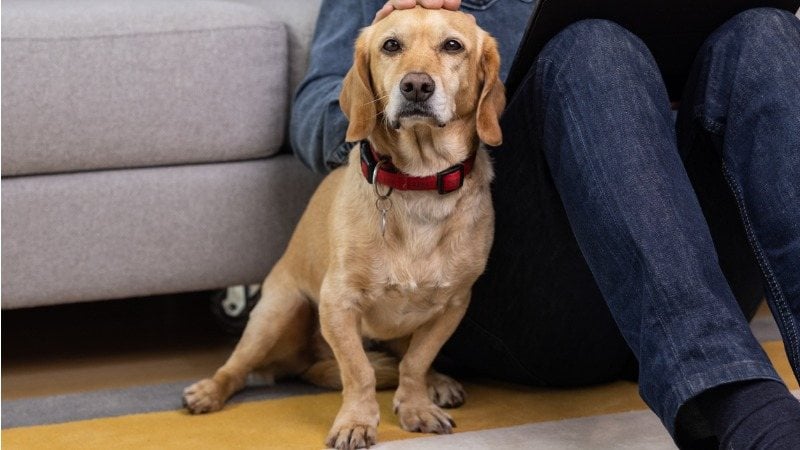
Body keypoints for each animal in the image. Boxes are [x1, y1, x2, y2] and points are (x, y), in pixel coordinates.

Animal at [184, 7, 504, 450]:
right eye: (391, 45)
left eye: (453, 45)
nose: (416, 86)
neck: (419, 181)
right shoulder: (338, 304)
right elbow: (359, 371)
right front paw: (356, 422)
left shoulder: (452, 306)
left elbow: (416, 362)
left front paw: (416, 406)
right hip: (279, 312)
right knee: (237, 367)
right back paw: (209, 391)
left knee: (405, 358)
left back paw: (438, 382)